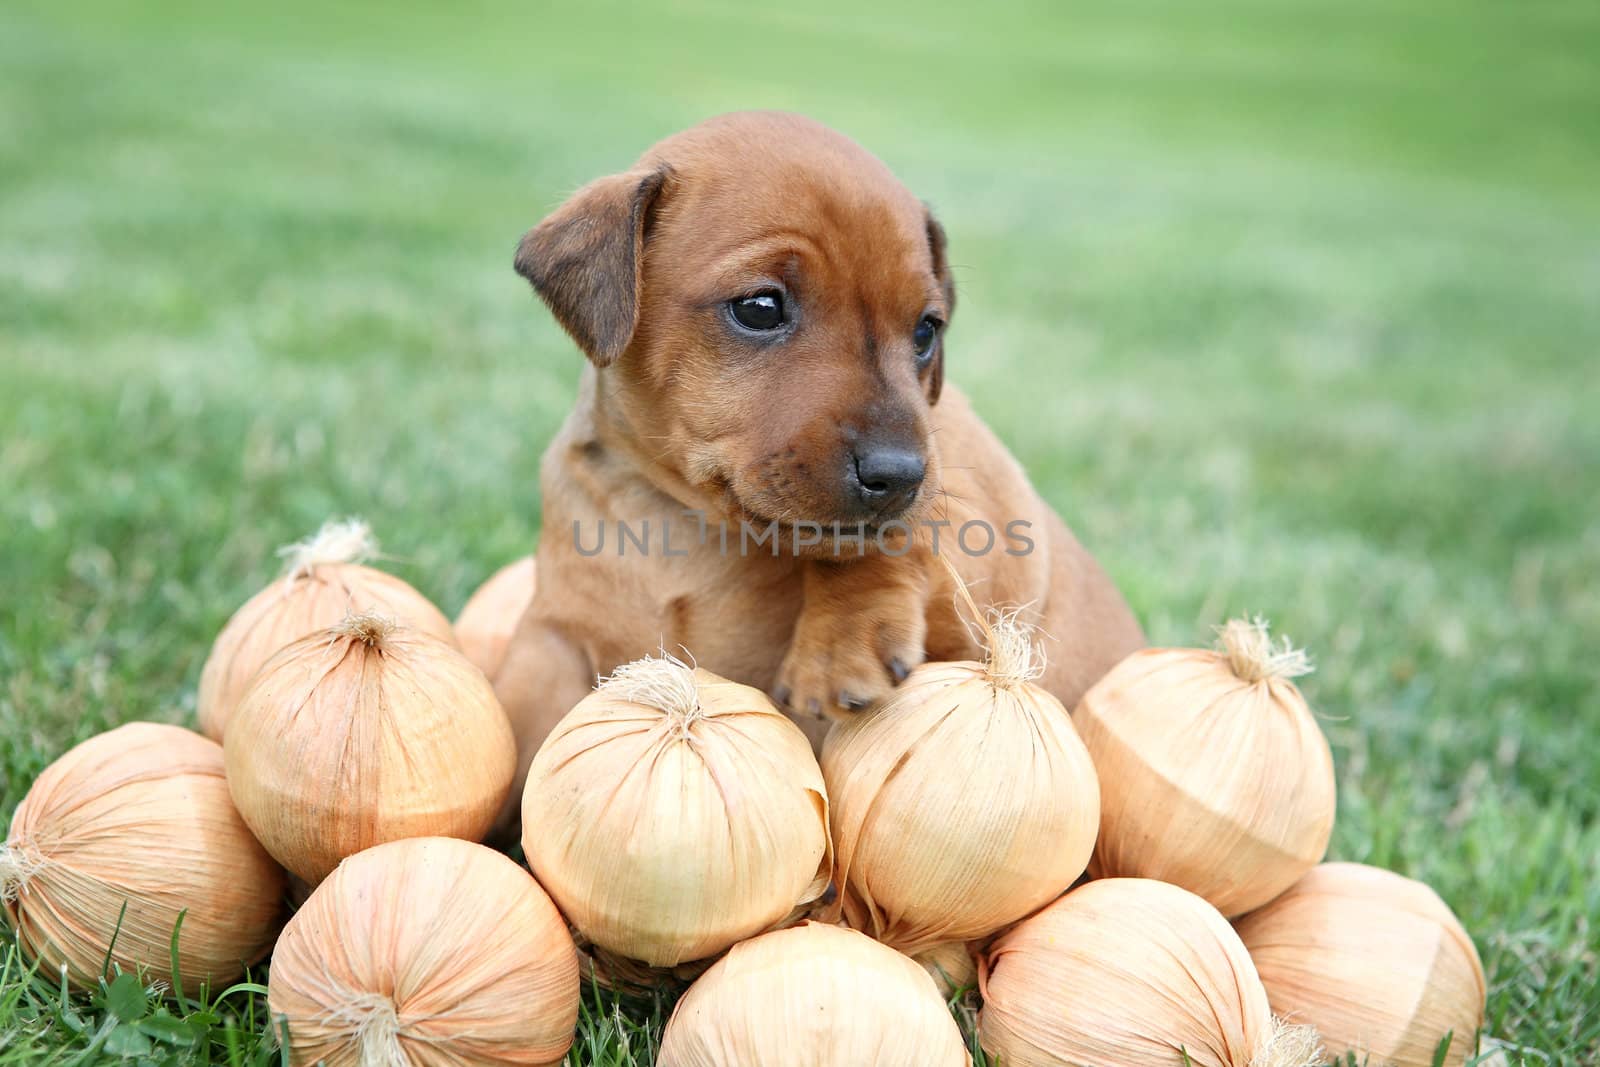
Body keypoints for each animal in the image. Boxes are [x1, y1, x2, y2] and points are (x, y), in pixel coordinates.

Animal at [492, 112, 1145, 819]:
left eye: (926, 331)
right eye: (760, 307)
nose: (899, 473)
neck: (685, 517)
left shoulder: (988, 532)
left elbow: (898, 538)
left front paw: (843, 640)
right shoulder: (553, 641)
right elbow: (522, 723)